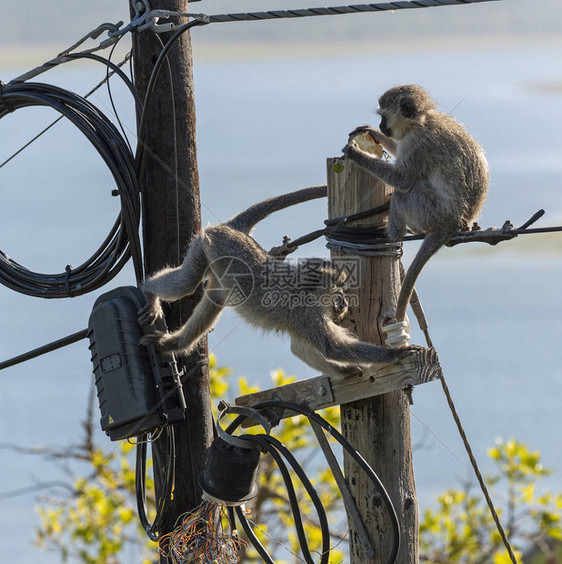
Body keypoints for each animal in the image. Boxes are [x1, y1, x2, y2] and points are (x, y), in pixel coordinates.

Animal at [139, 186, 420, 378]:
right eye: (337, 290)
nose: (342, 302)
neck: (306, 290)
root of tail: (234, 229)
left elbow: (300, 348)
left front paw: (346, 371)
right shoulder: (305, 312)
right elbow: (331, 346)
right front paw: (392, 355)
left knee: (214, 300)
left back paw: (175, 343)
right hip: (206, 244)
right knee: (186, 283)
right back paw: (149, 291)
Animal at [342, 83, 486, 324]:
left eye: (384, 117)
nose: (381, 126)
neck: (421, 120)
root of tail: (453, 223)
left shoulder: (415, 142)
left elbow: (402, 180)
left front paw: (356, 153)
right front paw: (372, 133)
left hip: (429, 210)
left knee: (403, 194)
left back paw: (393, 235)